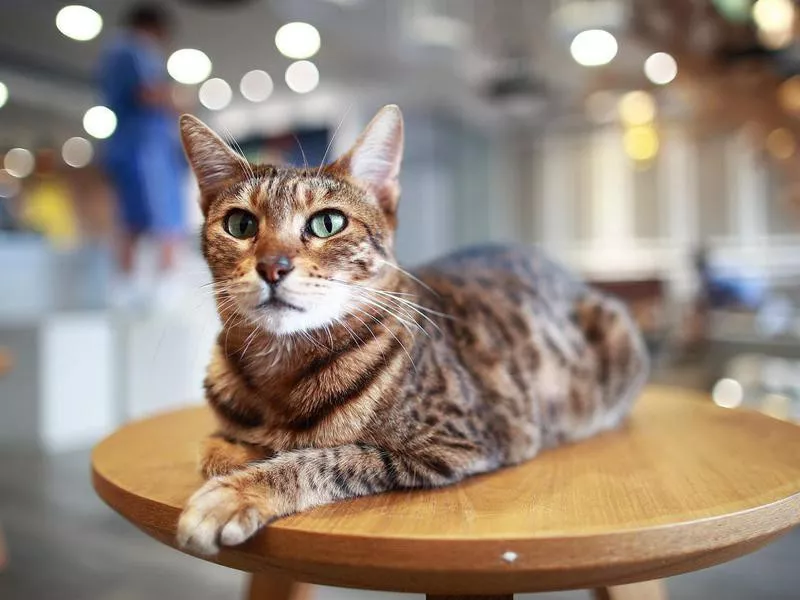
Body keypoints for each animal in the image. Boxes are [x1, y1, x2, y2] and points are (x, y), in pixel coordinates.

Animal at [177, 105, 648, 556]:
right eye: (241, 225)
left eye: (328, 223)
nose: (272, 266)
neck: (279, 372)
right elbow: (213, 447)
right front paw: (238, 454)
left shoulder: (451, 443)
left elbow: (326, 458)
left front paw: (237, 491)